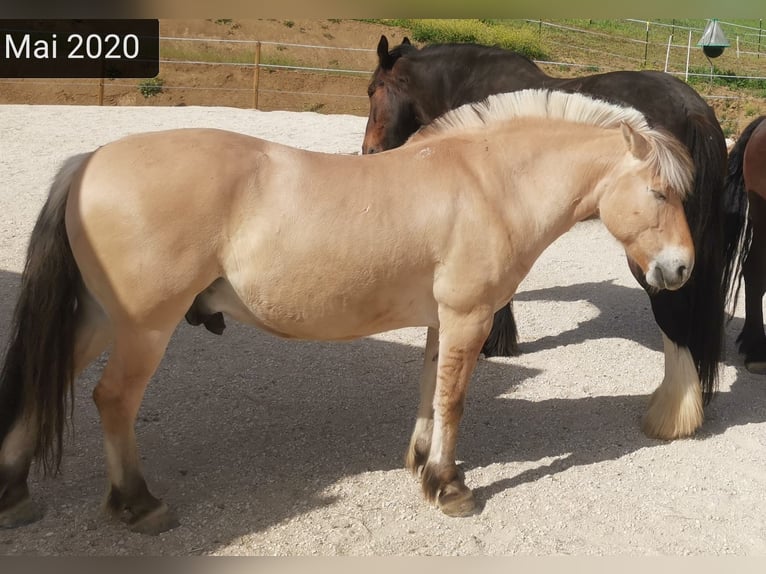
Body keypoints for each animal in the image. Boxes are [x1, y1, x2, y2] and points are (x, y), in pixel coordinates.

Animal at [0, 90, 696, 536]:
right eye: (660, 192)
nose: (682, 270)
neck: (488, 183)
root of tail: (86, 164)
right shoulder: (468, 317)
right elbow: (454, 401)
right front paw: (448, 487)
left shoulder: (443, 321)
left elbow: (430, 389)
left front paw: (423, 465)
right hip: (144, 327)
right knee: (113, 400)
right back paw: (137, 504)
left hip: (97, 318)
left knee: (45, 381)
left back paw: (14, 492)